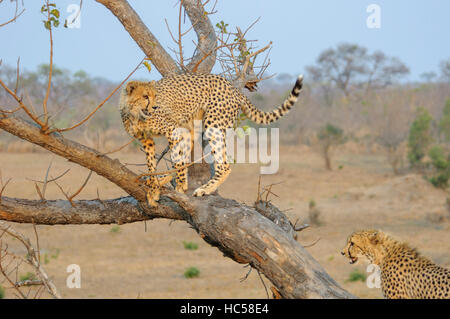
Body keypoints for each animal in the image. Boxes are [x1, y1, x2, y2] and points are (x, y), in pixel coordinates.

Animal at [119, 73, 302, 206]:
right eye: (145, 96)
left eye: (155, 96)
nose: (155, 106)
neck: (136, 115)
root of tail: (231, 86)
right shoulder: (147, 140)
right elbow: (152, 165)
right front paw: (153, 188)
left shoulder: (174, 130)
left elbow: (177, 160)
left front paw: (180, 187)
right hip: (193, 126)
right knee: (187, 157)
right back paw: (164, 179)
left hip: (212, 124)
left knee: (223, 165)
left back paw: (203, 189)